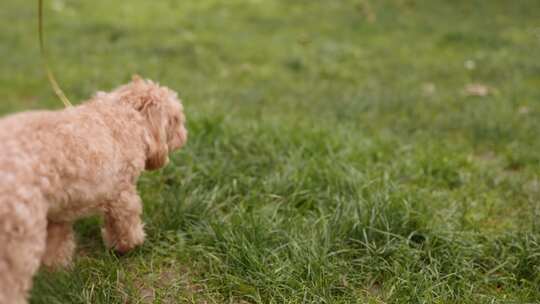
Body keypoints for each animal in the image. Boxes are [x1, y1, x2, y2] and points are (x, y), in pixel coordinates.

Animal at [0, 75, 188, 302]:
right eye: (176, 119)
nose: (184, 137)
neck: (124, 116)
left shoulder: (57, 215)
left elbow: (58, 248)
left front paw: (58, 274)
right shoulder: (122, 194)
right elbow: (126, 224)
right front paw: (129, 245)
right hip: (19, 244)